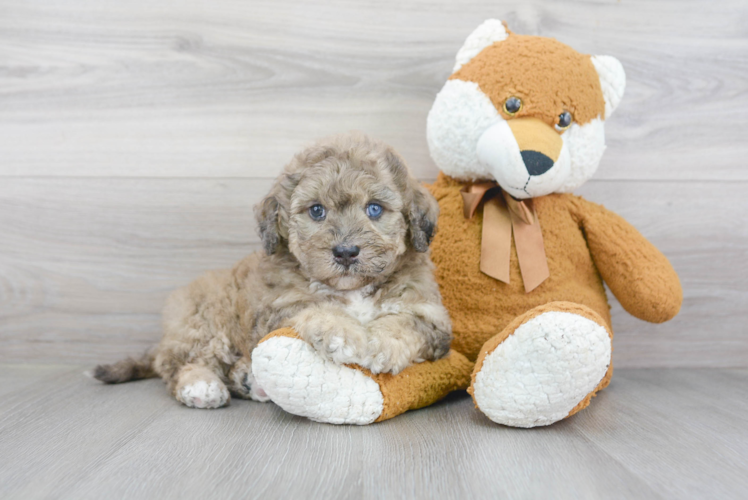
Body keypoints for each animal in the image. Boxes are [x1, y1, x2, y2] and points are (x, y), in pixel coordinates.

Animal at [89, 133, 450, 410]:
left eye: (374, 209)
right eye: (316, 211)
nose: (346, 251)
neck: (352, 289)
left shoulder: (431, 316)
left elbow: (405, 324)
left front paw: (379, 344)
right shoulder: (279, 305)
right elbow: (318, 307)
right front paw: (341, 332)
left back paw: (249, 380)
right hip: (205, 318)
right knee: (179, 363)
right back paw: (201, 385)